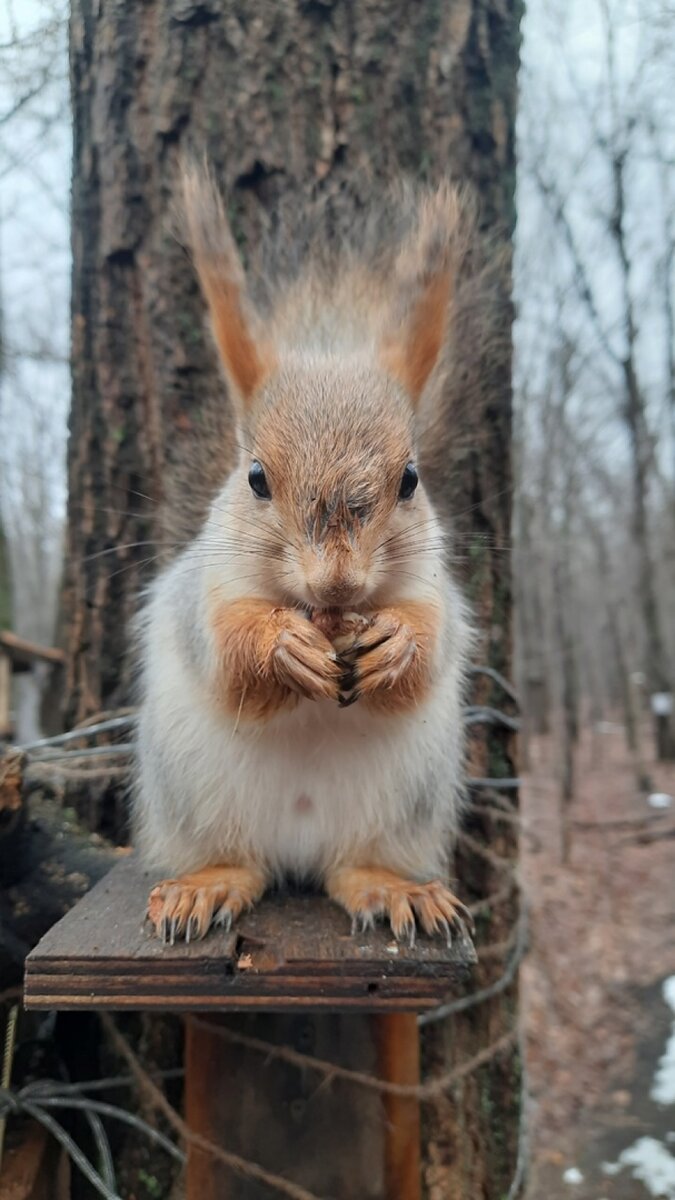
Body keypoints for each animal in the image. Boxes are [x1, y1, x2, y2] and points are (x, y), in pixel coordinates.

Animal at [133, 164, 473, 945]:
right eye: (256, 478)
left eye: (410, 480)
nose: (337, 585)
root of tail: (298, 847)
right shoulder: (201, 591)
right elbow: (221, 645)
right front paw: (281, 644)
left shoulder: (436, 589)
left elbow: (434, 640)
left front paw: (396, 642)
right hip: (192, 795)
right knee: (239, 862)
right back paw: (205, 885)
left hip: (403, 805)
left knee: (352, 868)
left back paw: (392, 889)